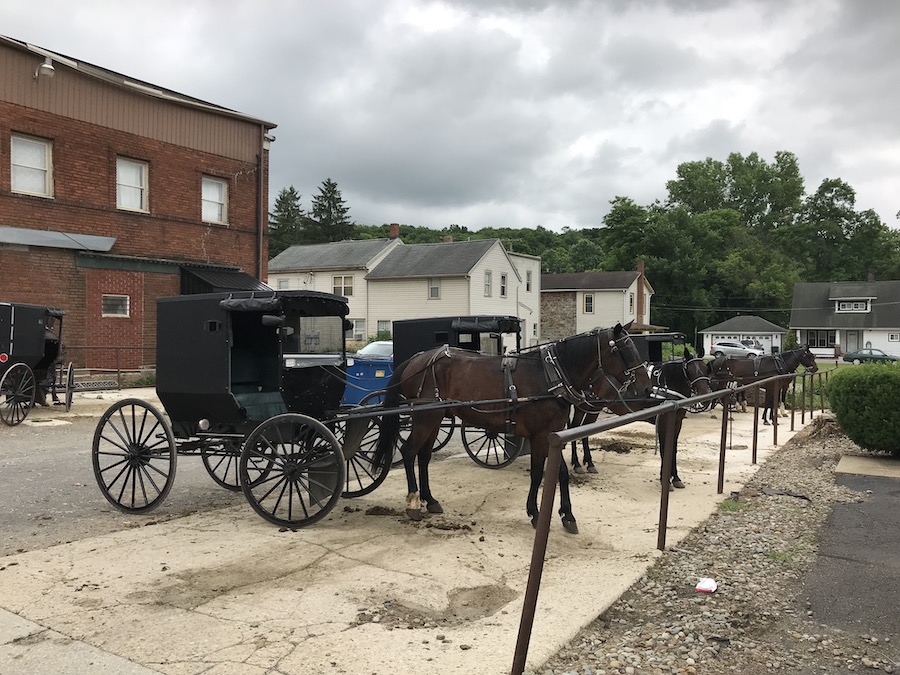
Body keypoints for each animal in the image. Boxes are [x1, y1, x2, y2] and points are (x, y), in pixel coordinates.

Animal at [374, 326, 652, 532]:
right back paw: (413, 503)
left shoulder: (552, 435)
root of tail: (415, 359)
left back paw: (430, 500)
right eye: (625, 350)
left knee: (423, 456)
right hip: (426, 417)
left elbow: (560, 473)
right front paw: (535, 513)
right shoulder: (540, 436)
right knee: (409, 452)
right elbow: (538, 473)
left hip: (435, 417)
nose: (647, 388)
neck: (550, 375)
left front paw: (568, 515)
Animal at [572, 348, 712, 492]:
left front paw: (676, 478)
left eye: (706, 369)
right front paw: (665, 480)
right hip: (585, 407)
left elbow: (673, 448)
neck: (666, 386)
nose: (705, 397)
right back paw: (577, 464)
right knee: (574, 428)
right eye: (689, 370)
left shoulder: (677, 422)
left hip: (594, 408)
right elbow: (664, 450)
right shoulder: (662, 423)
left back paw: (589, 463)